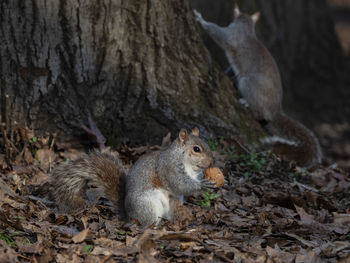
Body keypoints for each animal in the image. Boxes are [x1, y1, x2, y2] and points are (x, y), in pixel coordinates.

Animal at [47, 128, 215, 225]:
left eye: (207, 144)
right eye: (196, 149)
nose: (212, 161)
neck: (188, 165)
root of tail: (129, 217)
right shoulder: (169, 168)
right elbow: (179, 184)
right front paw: (203, 185)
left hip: (173, 203)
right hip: (148, 206)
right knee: (146, 224)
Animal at [194, 6, 322, 168]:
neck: (247, 28)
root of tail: (275, 111)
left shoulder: (231, 35)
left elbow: (217, 32)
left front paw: (200, 19)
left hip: (248, 84)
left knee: (259, 113)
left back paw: (246, 102)